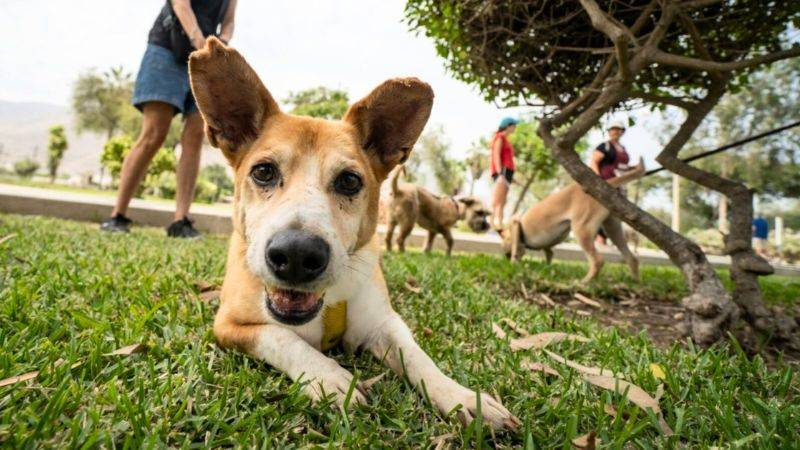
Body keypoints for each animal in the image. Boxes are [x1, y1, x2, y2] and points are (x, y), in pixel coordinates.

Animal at [189, 37, 520, 430]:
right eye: (264, 172)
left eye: (349, 181)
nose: (297, 255)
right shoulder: (229, 327)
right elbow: (283, 338)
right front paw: (329, 377)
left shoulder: (385, 324)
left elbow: (419, 357)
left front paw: (463, 397)